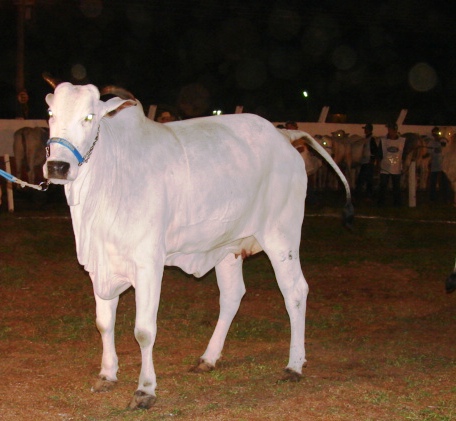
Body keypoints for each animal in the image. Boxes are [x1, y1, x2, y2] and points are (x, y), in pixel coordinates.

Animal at [42, 81, 352, 406]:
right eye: (50, 113)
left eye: (89, 117)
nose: (58, 167)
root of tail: (283, 135)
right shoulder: (100, 263)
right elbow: (104, 322)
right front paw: (107, 374)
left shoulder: (148, 264)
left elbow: (144, 331)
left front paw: (145, 389)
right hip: (229, 247)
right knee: (232, 296)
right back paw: (209, 358)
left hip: (282, 235)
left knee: (295, 292)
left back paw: (294, 365)